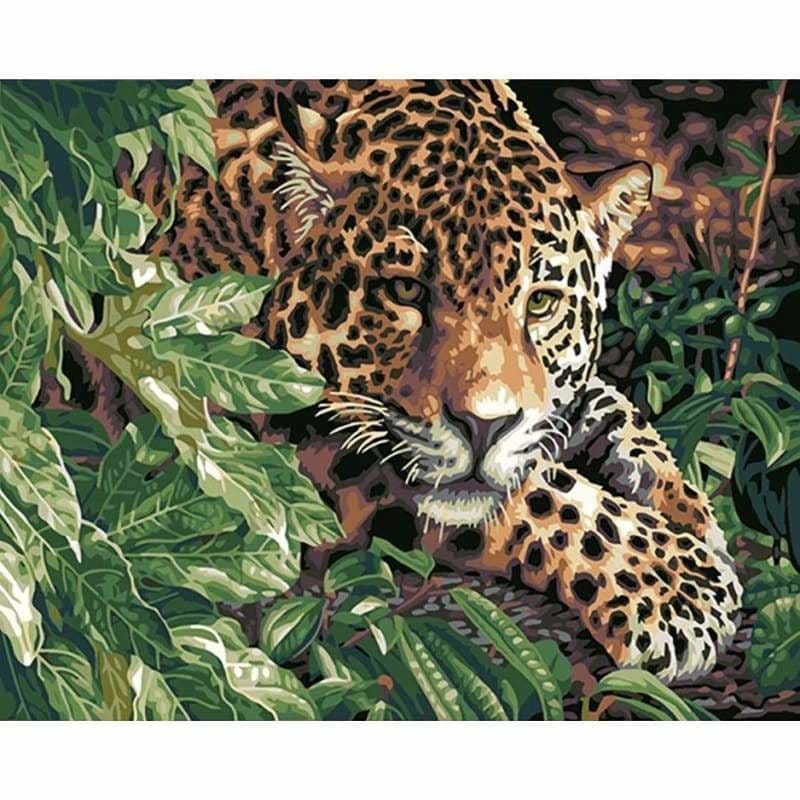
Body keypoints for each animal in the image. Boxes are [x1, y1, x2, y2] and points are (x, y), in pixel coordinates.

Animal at [121, 79, 742, 684]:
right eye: (405, 290)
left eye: (541, 303)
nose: (483, 427)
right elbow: (539, 492)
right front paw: (678, 584)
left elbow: (610, 413)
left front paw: (689, 511)